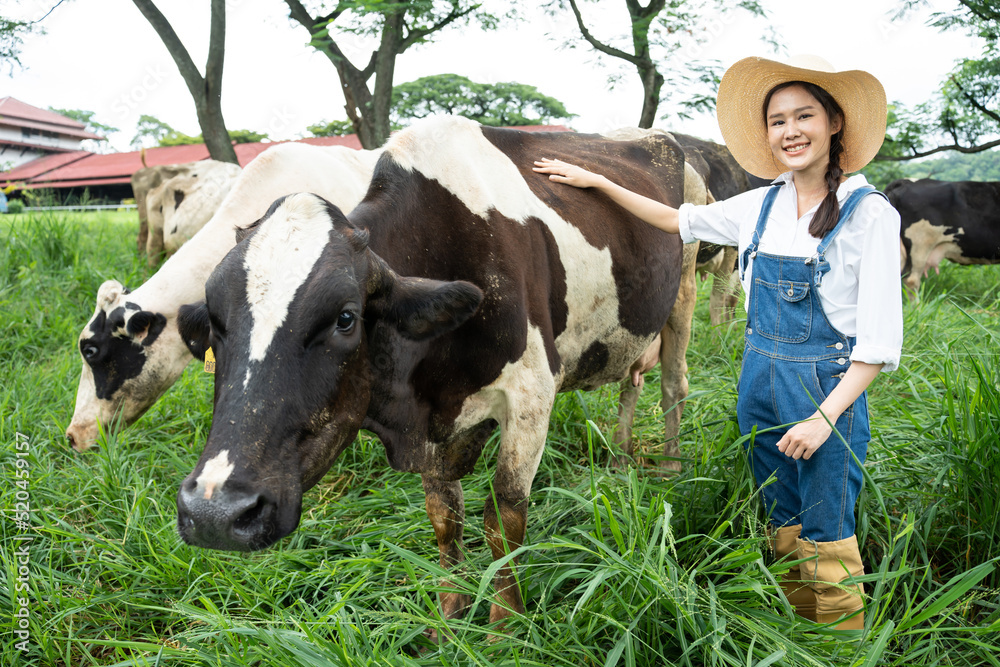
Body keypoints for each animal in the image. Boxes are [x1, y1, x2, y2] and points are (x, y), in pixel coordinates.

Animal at [174, 116, 688, 632]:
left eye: (345, 318)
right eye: (215, 323)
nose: (215, 511)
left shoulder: (532, 395)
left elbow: (504, 518)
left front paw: (505, 626)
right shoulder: (433, 419)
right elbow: (445, 516)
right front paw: (451, 616)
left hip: (685, 294)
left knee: (672, 385)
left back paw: (671, 468)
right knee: (632, 382)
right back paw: (620, 458)